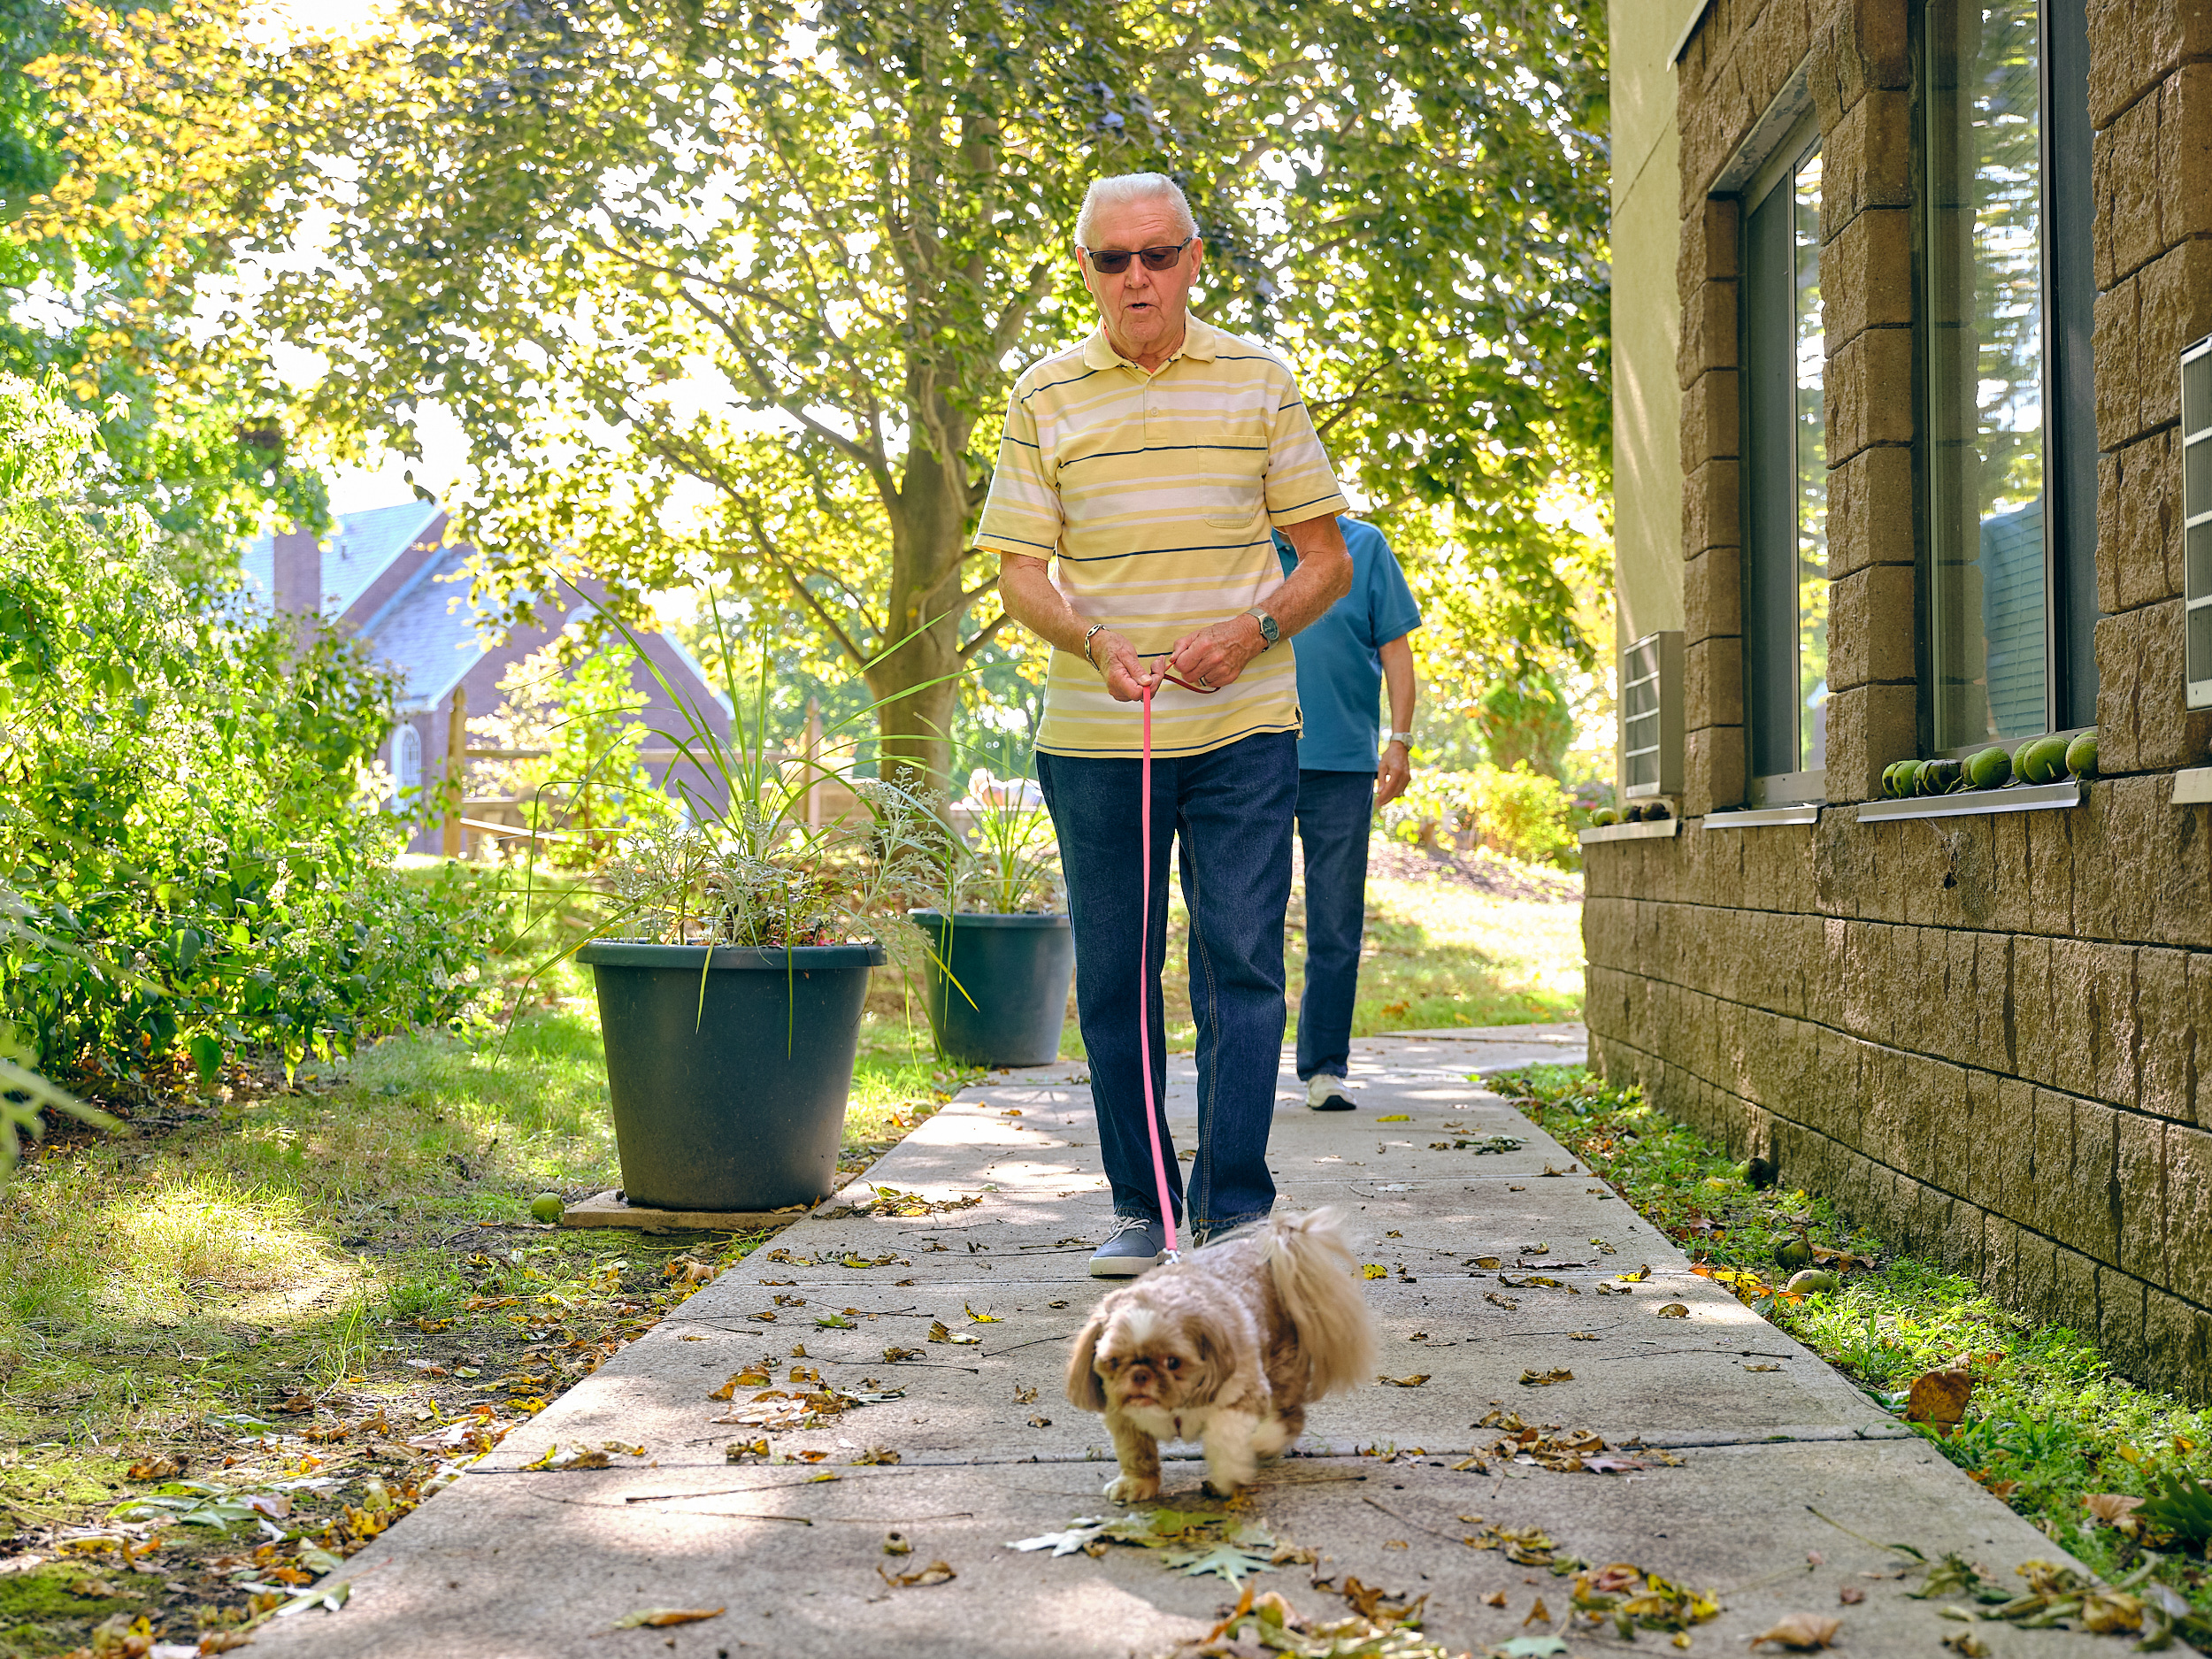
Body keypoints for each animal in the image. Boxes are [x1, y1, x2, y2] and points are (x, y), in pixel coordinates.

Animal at [1066, 1212, 1371, 1504]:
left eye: (1173, 1362)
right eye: (1114, 1362)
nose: (1140, 1374)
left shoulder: (1241, 1395)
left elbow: (1224, 1436)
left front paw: (1228, 1476)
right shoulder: (1123, 1416)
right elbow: (1135, 1452)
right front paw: (1136, 1483)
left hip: (1282, 1364)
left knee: (1289, 1414)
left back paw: (1264, 1441)